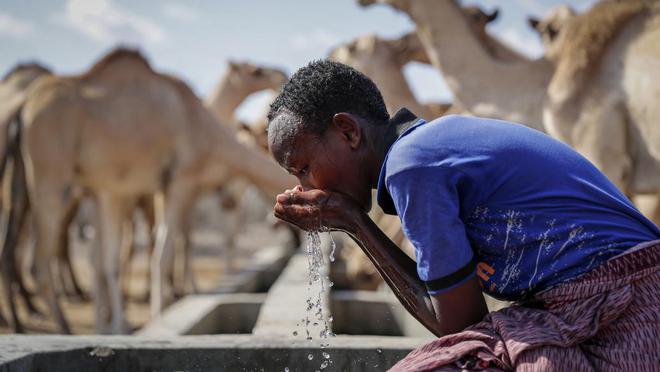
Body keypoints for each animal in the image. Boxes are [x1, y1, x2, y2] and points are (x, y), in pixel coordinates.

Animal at [3, 48, 294, 334]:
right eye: (255, 70)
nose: (280, 73)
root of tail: (21, 109)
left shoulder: (118, 190)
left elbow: (115, 258)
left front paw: (118, 324)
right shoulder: (177, 183)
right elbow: (163, 252)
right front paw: (159, 314)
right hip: (50, 178)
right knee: (39, 261)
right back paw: (62, 327)